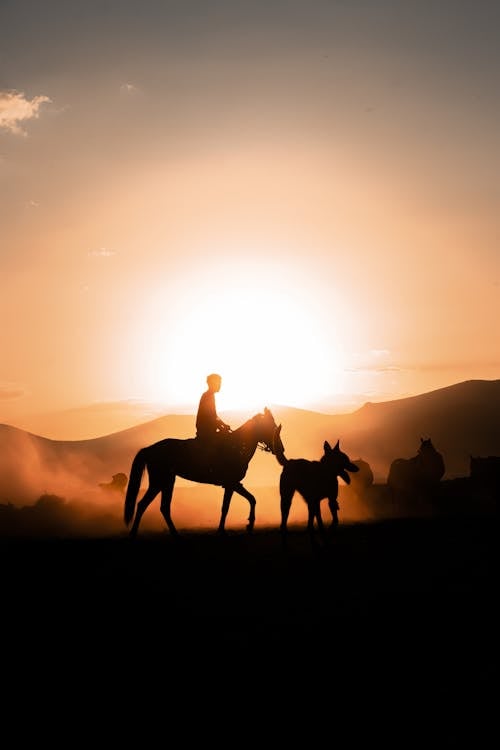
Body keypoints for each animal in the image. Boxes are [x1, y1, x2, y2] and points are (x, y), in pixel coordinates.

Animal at [123, 408, 284, 536]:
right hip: (159, 481)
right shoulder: (231, 484)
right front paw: (222, 530)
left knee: (161, 507)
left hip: (167, 481)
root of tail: (149, 449)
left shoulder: (235, 484)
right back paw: (135, 533)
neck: (237, 446)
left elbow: (252, 499)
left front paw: (249, 524)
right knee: (144, 504)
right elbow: (226, 507)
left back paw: (173, 534)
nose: (281, 449)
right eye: (270, 426)